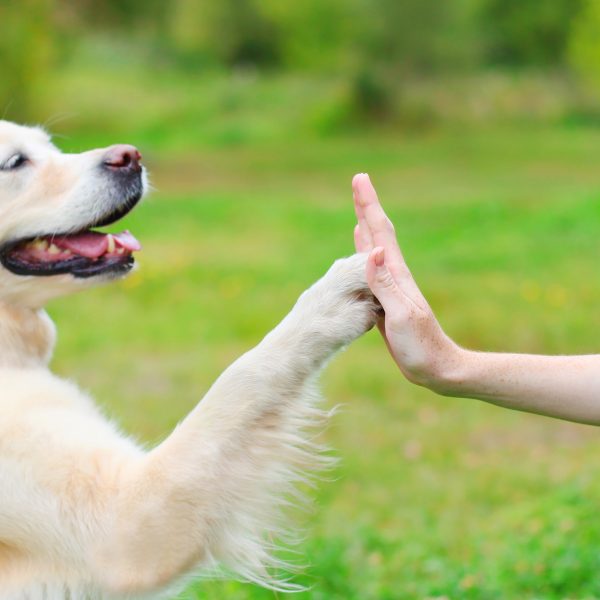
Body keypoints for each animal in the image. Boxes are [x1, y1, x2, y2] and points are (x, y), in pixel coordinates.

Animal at [0, 122, 378, 600]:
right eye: (15, 162)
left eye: (49, 146)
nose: (130, 156)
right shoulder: (123, 526)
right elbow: (243, 376)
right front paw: (333, 297)